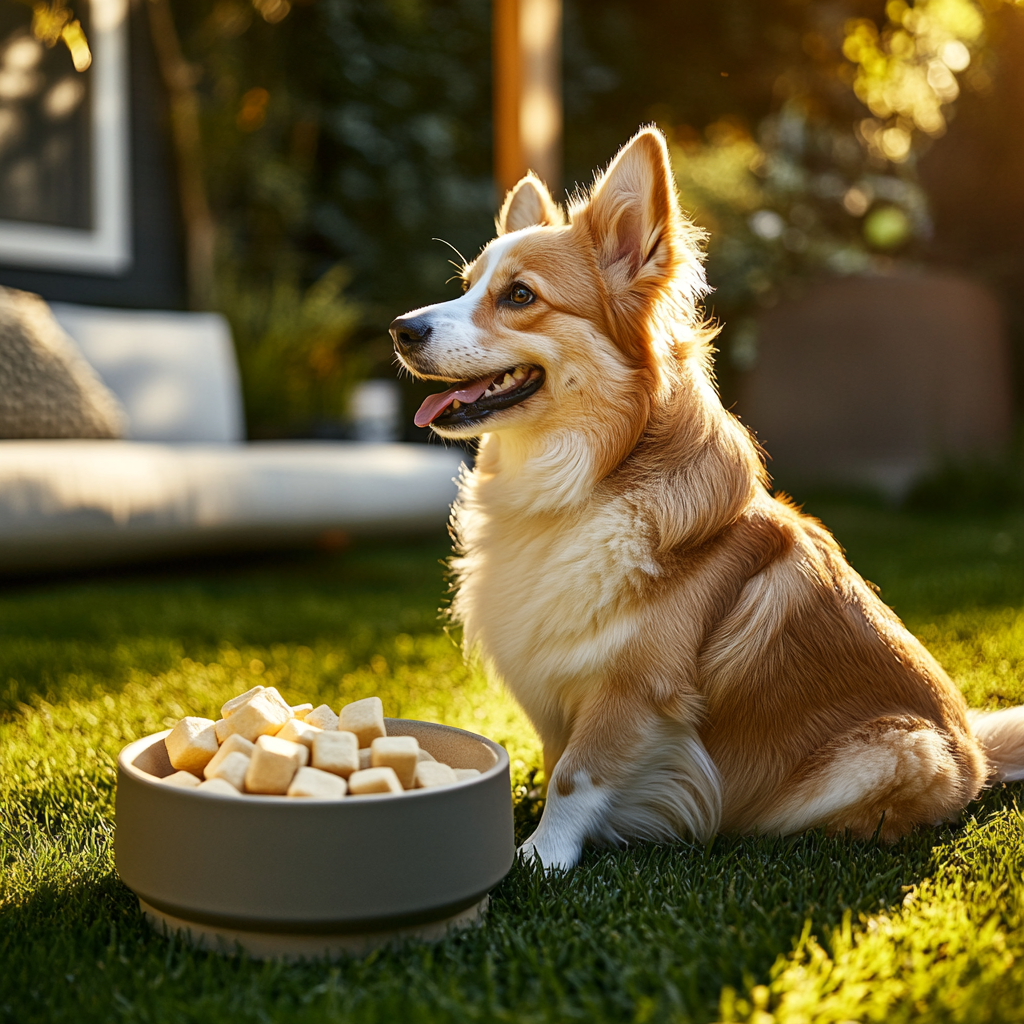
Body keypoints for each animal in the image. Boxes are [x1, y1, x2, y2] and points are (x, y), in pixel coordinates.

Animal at [385, 123, 1024, 868]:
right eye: (466, 288)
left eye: (519, 296)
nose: (400, 328)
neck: (586, 477)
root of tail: (978, 753)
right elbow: (555, 753)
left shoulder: (635, 688)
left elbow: (576, 775)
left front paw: (541, 858)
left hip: (897, 748)